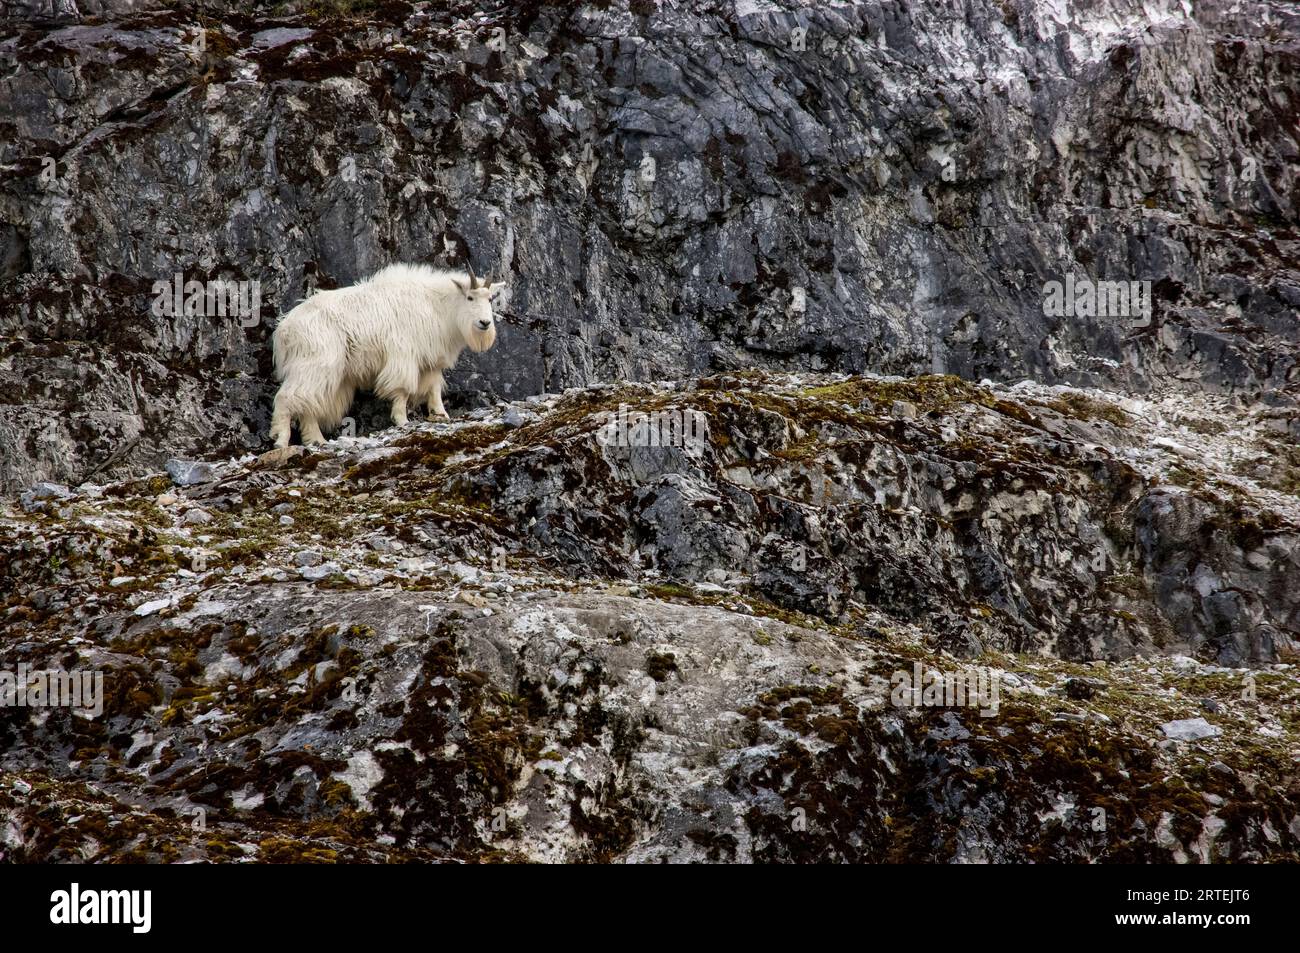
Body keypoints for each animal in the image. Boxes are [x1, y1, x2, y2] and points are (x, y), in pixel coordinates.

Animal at [269, 262, 501, 447]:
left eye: (490, 298)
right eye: (470, 297)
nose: (485, 323)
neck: (437, 305)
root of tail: (283, 330)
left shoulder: (431, 360)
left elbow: (434, 388)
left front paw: (441, 414)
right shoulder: (404, 354)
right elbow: (403, 389)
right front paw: (402, 420)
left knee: (309, 404)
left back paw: (317, 440)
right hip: (315, 364)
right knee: (287, 398)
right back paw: (281, 440)